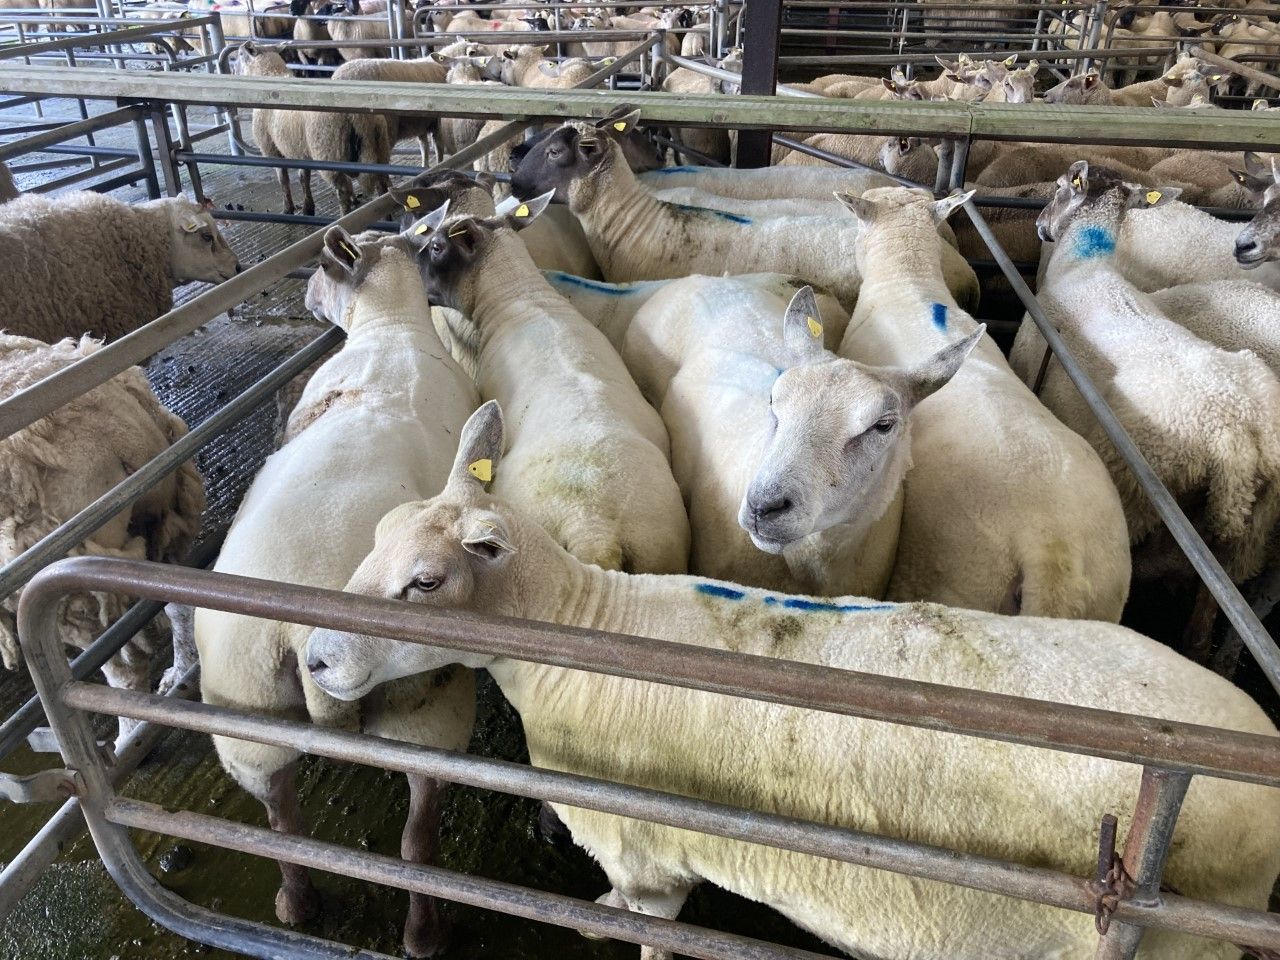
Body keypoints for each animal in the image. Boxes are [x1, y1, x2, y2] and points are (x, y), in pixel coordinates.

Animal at [0, 334, 204, 741]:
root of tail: (113, 432)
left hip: (72, 588)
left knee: (121, 669)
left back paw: (130, 733)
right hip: (164, 517)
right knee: (179, 602)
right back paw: (179, 675)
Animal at [194, 225, 477, 958]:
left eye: (321, 270)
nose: (305, 297)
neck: (390, 324)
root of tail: (301, 634)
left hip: (252, 717)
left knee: (291, 826)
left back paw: (306, 907)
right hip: (407, 709)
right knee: (412, 843)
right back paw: (413, 930)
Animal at [235, 40, 392, 215]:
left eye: (240, 54)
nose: (234, 71)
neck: (270, 74)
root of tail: (358, 116)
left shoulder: (270, 149)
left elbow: (283, 179)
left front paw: (288, 208)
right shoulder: (300, 151)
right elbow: (304, 177)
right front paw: (307, 207)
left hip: (328, 153)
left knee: (343, 190)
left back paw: (344, 215)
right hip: (378, 146)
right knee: (381, 186)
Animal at [306, 397, 1280, 960]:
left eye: (425, 583)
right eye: (377, 538)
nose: (314, 656)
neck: (587, 632)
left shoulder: (649, 857)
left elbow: (639, 921)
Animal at [1012, 162, 1280, 584]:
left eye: (1057, 188)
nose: (1039, 226)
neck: (1083, 263)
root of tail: (1236, 435)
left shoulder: (1023, 359)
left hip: (1134, 483)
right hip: (1258, 522)